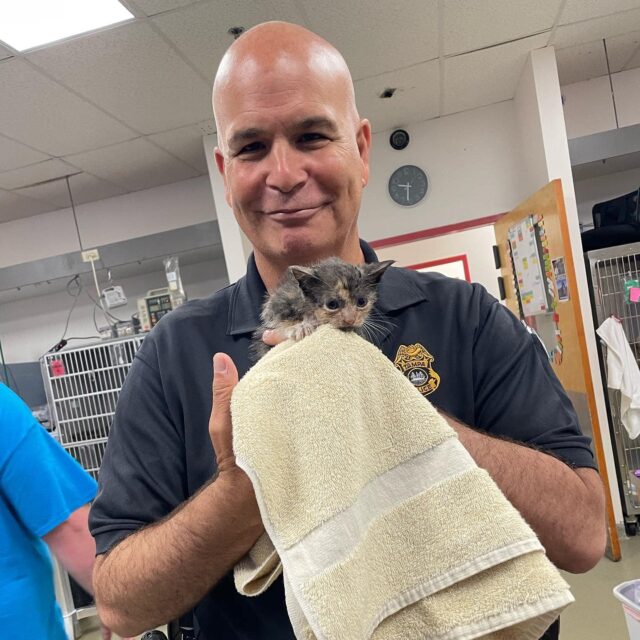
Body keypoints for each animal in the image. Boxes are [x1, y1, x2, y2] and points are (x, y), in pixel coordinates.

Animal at [251, 258, 396, 362]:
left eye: (362, 302)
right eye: (332, 304)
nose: (350, 320)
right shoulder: (277, 302)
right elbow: (278, 321)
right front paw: (301, 326)